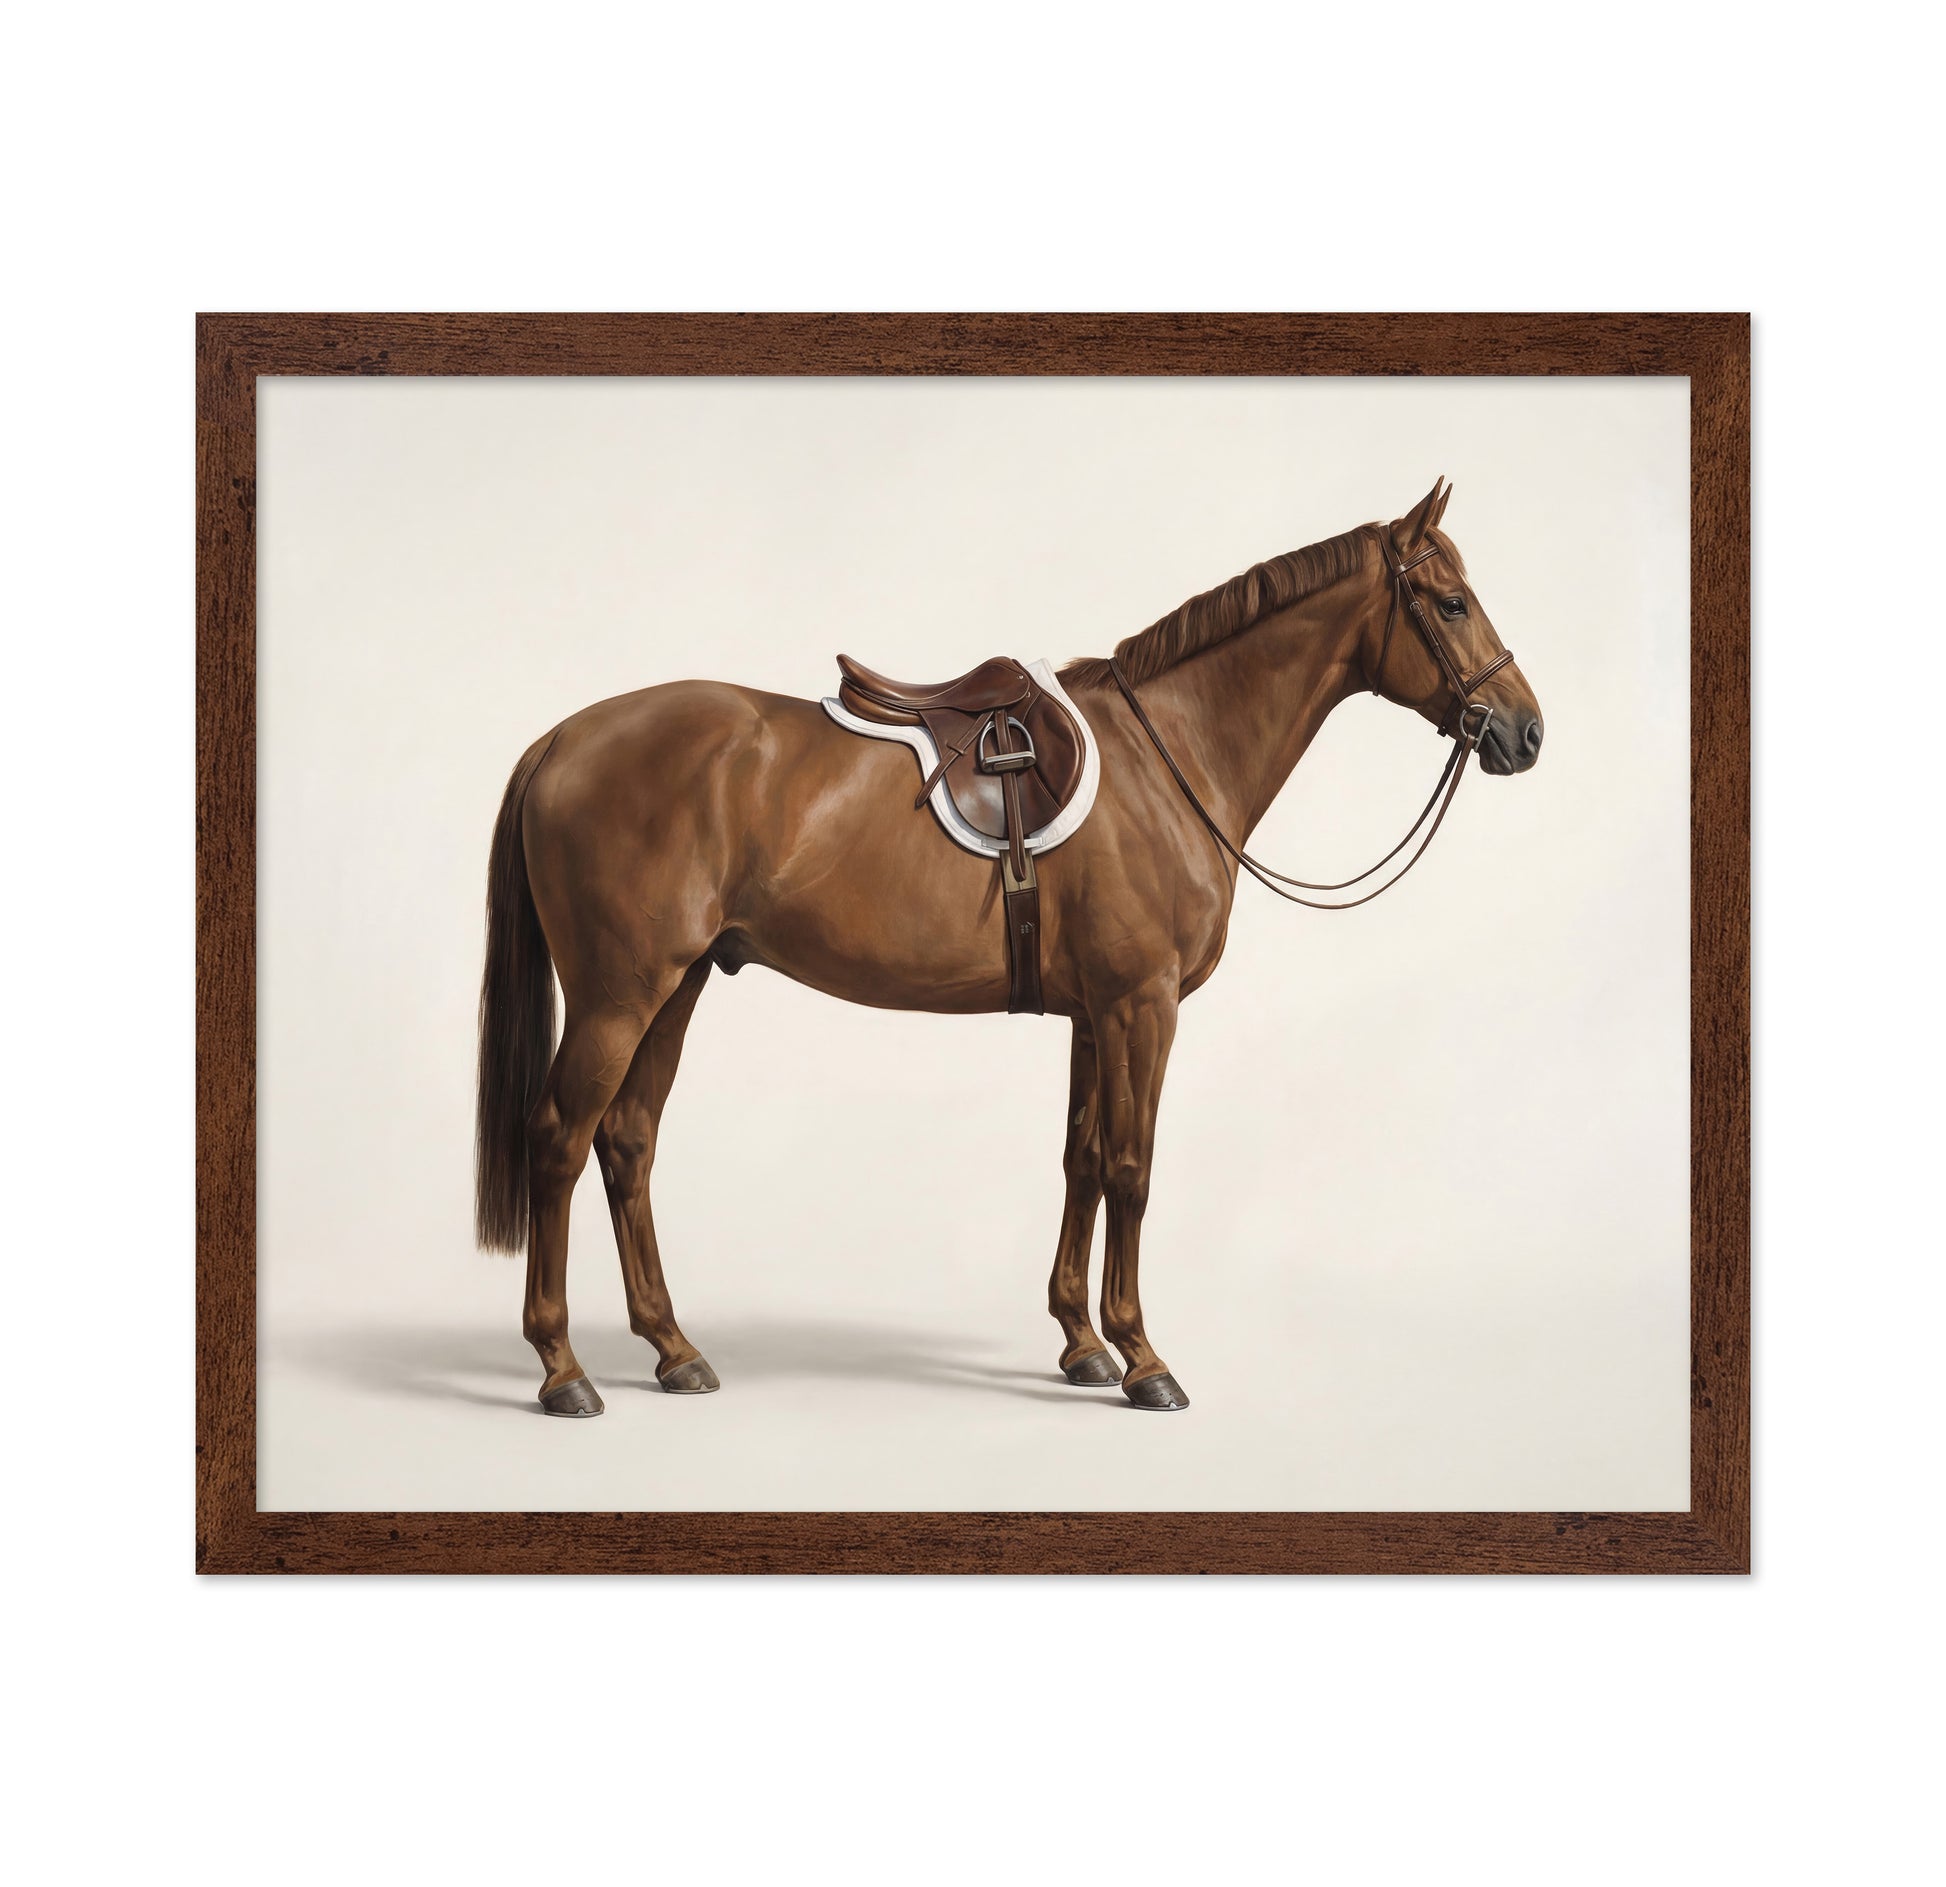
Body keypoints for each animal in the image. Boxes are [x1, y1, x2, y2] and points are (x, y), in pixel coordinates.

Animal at [473, 479, 1544, 1415]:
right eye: (1451, 603)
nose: (1526, 732)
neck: (1170, 758)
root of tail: (562, 739)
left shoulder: (1093, 1011)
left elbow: (1082, 1156)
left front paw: (1082, 1342)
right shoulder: (1143, 1003)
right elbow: (1132, 1168)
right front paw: (1144, 1358)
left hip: (679, 983)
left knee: (627, 1139)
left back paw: (674, 1349)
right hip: (620, 992)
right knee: (559, 1138)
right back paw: (563, 1369)